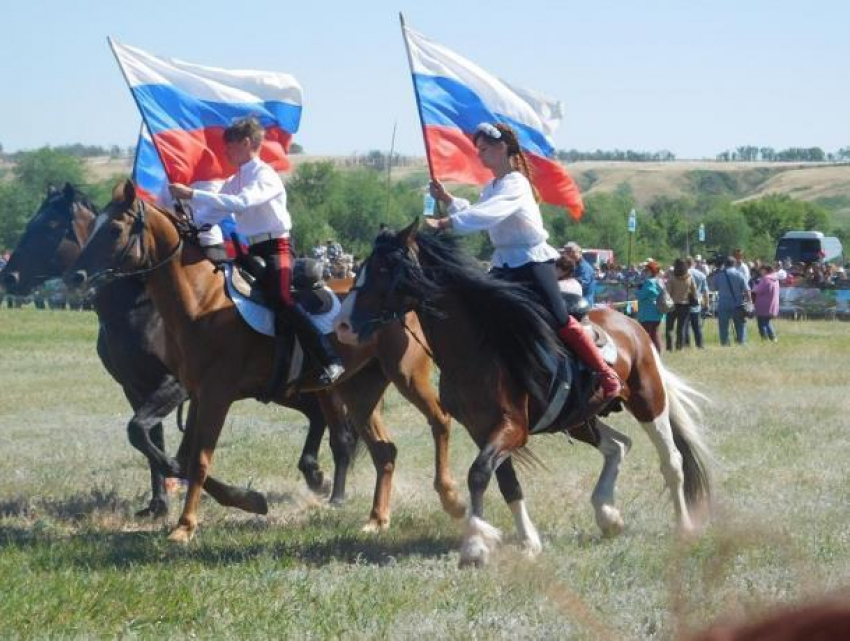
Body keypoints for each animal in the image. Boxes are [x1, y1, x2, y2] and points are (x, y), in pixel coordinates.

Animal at [66, 179, 464, 540]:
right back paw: (377, 519)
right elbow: (183, 455)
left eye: (115, 229)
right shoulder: (195, 395)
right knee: (383, 450)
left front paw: (185, 526)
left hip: (407, 375)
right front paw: (246, 499)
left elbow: (197, 459)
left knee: (439, 420)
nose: (76, 275)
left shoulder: (213, 396)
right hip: (359, 390)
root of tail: (404, 297)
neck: (202, 302)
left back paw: (450, 497)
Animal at [334, 222, 712, 568]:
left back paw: (683, 526)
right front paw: (527, 541)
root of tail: (631, 325)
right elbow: (506, 482)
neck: (481, 347)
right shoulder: (482, 429)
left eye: (385, 269)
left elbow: (478, 473)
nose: (341, 325)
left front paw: (476, 544)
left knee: (671, 461)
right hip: (580, 419)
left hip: (648, 401)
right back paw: (608, 515)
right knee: (618, 446)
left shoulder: (512, 427)